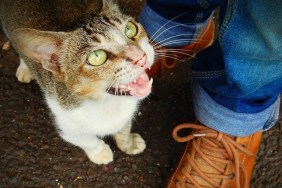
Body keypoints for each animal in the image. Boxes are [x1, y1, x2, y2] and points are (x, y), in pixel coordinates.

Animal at [0, 0, 154, 164]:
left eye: (130, 29)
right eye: (97, 56)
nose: (140, 56)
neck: (107, 104)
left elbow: (124, 128)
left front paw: (129, 143)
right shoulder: (67, 125)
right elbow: (86, 140)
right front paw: (100, 153)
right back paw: (25, 68)